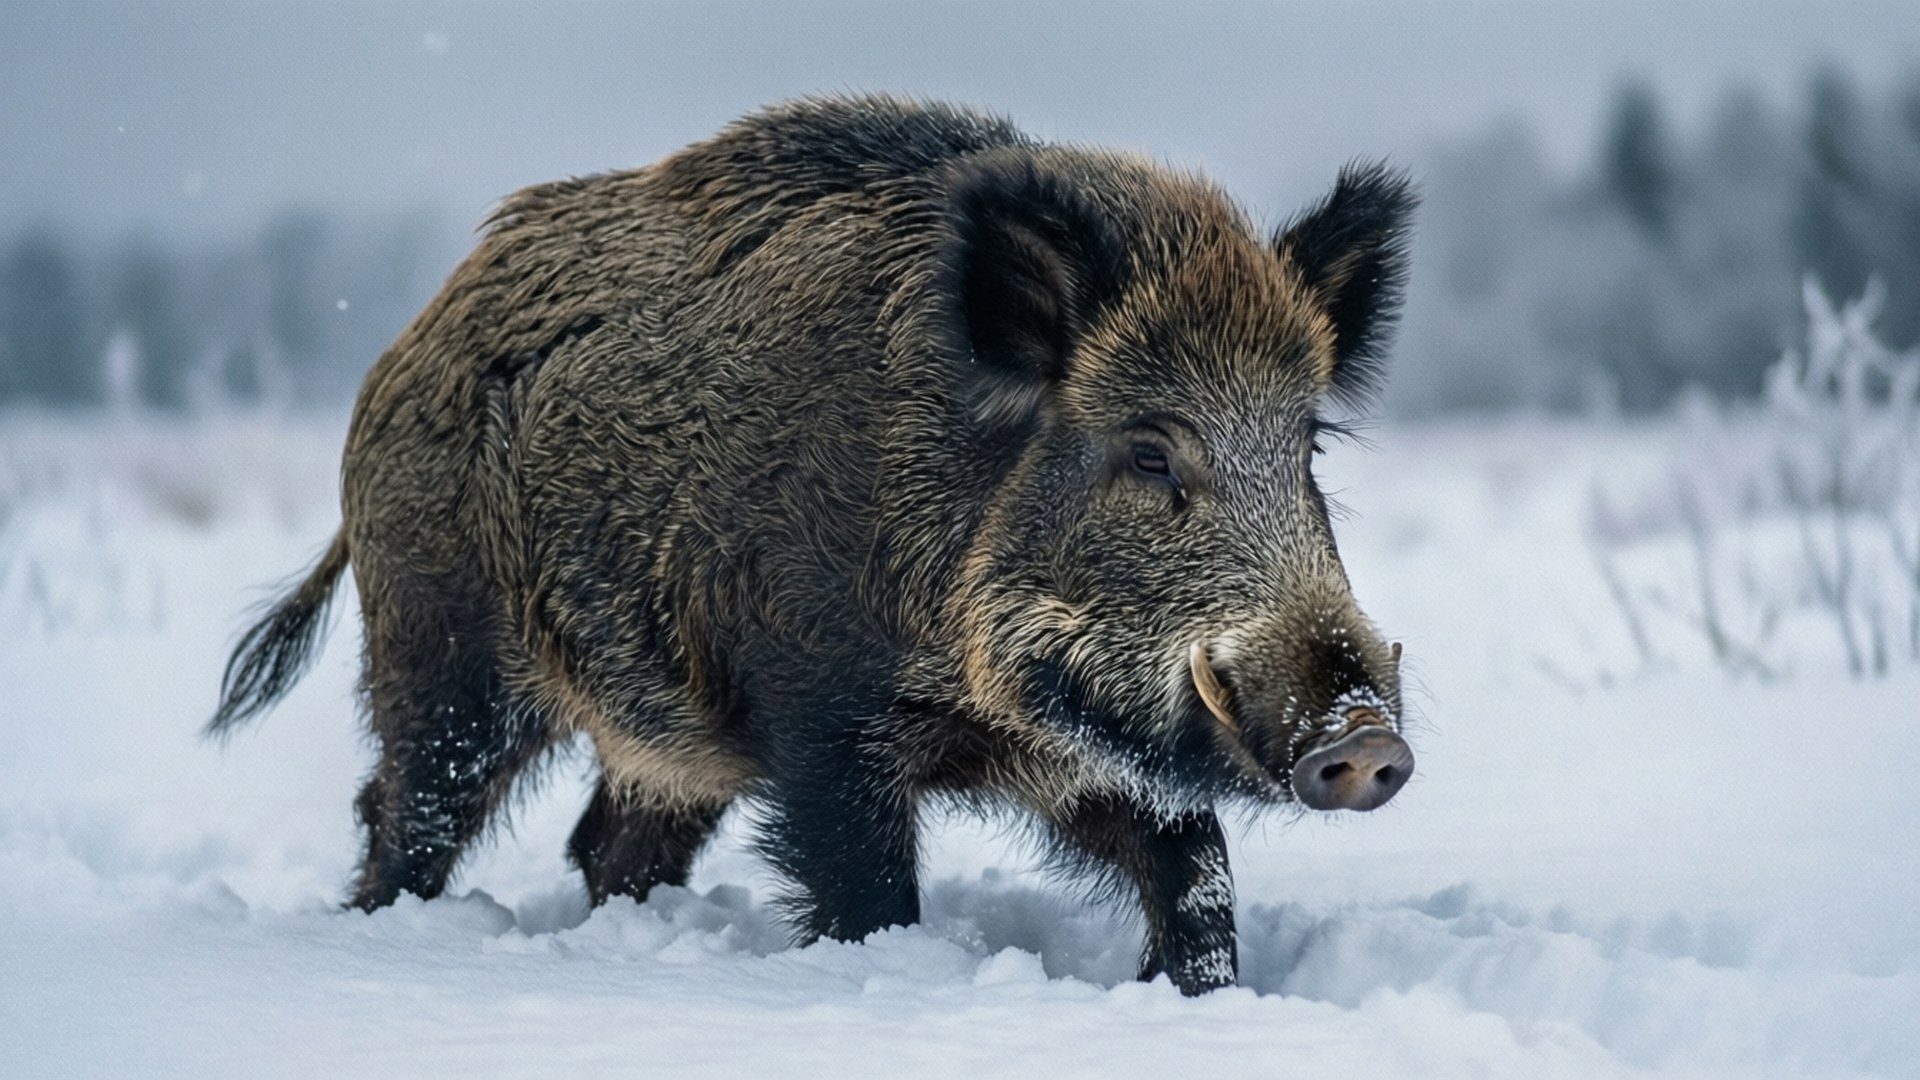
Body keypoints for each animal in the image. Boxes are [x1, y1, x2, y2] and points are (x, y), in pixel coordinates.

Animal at [210, 94, 1417, 995]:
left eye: (1307, 444)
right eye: (1152, 452)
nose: (1363, 738)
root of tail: (401, 354)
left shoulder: (1081, 752)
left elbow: (1196, 871)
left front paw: (1193, 998)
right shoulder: (823, 716)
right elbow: (867, 896)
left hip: (667, 732)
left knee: (606, 844)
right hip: (444, 652)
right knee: (404, 810)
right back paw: (381, 929)